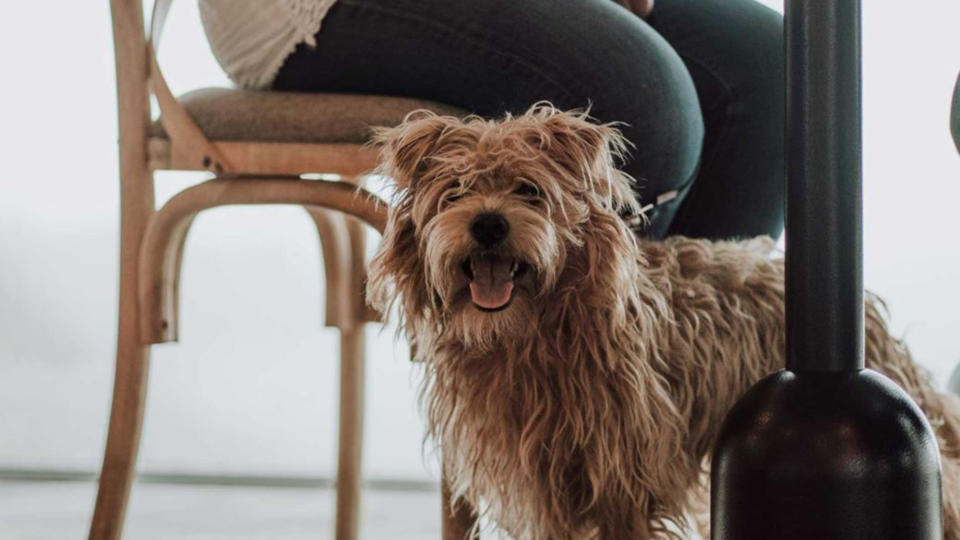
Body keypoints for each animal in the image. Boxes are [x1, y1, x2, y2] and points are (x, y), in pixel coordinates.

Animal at [366, 103, 960, 536]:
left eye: (529, 191)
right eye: (456, 192)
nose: (488, 224)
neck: (533, 336)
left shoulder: (620, 484)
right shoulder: (545, 490)